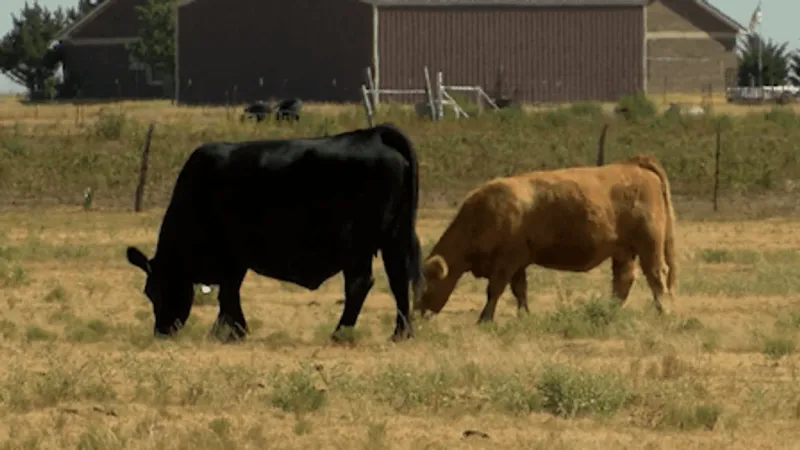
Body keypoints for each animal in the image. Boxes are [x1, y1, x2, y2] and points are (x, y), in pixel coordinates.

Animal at [125, 123, 425, 343]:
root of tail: (375, 133)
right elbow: (230, 293)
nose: (162, 331)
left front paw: (230, 332)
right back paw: (401, 333)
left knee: (360, 284)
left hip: (356, 242)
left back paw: (340, 333)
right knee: (398, 280)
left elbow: (228, 293)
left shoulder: (232, 255)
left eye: (155, 290)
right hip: (394, 237)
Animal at [414, 154, 677, 323]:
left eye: (426, 285)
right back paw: (609, 311)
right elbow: (520, 290)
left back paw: (664, 311)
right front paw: (525, 315)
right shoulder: (518, 263)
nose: (416, 313)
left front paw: (485, 319)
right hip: (623, 250)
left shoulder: (506, 261)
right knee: (623, 280)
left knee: (656, 275)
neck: (483, 214)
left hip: (649, 245)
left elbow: (495, 290)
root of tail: (633, 165)